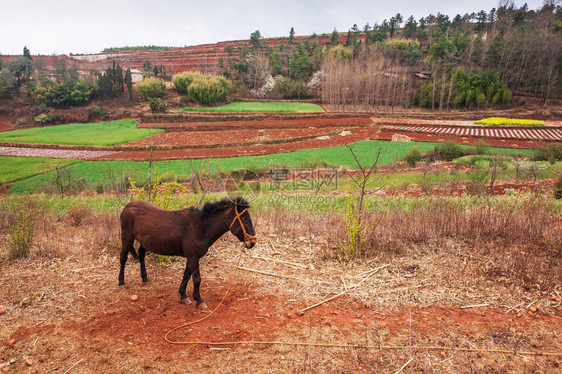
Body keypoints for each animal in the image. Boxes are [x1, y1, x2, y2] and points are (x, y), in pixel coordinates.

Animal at [121, 196, 258, 306]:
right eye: (244, 219)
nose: (252, 242)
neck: (200, 227)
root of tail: (128, 206)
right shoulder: (192, 257)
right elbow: (196, 278)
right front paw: (199, 300)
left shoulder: (191, 257)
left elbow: (187, 275)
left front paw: (183, 296)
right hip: (127, 238)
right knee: (123, 258)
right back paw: (121, 281)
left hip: (145, 242)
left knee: (141, 254)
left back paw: (144, 278)